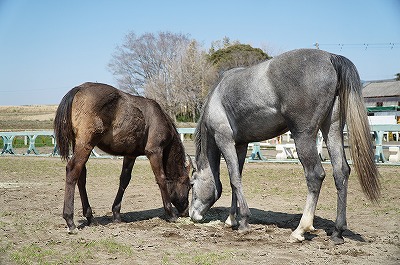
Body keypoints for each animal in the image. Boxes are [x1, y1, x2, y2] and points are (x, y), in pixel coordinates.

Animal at [54, 82, 191, 233]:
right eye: (189, 186)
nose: (186, 212)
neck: (159, 117)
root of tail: (79, 88)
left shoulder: (130, 155)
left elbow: (124, 180)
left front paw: (116, 213)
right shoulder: (155, 152)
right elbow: (161, 178)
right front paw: (170, 213)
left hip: (79, 145)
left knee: (81, 176)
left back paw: (90, 217)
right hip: (86, 145)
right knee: (73, 171)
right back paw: (70, 220)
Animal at [189, 48, 380, 243]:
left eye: (192, 184)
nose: (192, 215)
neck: (217, 95)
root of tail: (330, 57)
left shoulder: (224, 140)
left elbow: (234, 178)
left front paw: (243, 222)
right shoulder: (240, 145)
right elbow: (236, 178)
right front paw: (232, 219)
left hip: (303, 136)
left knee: (315, 176)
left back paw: (300, 230)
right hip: (332, 130)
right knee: (341, 172)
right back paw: (337, 232)